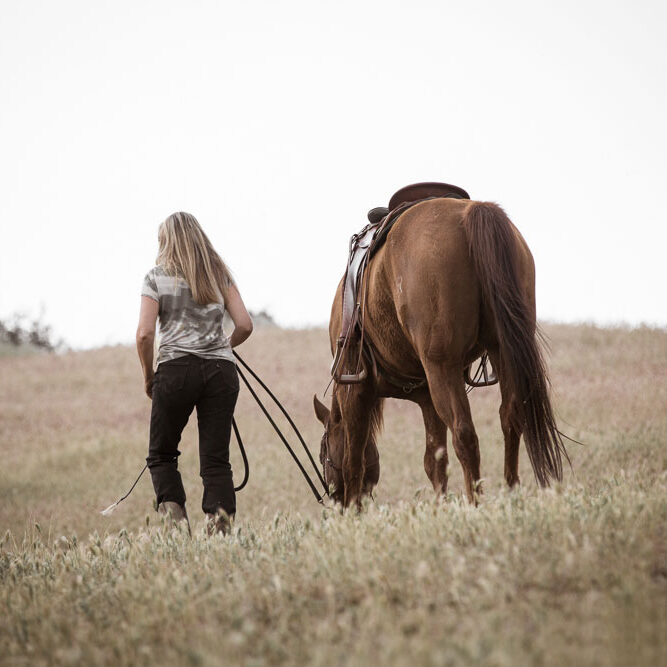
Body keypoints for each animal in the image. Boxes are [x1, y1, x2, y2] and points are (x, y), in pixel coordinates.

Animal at [313, 197, 568, 507]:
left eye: (323, 453)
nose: (333, 499)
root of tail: (472, 212)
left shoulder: (355, 391)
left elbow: (354, 461)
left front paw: (354, 511)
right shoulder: (426, 397)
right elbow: (434, 461)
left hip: (442, 368)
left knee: (464, 433)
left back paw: (476, 503)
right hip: (501, 352)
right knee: (510, 418)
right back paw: (511, 496)